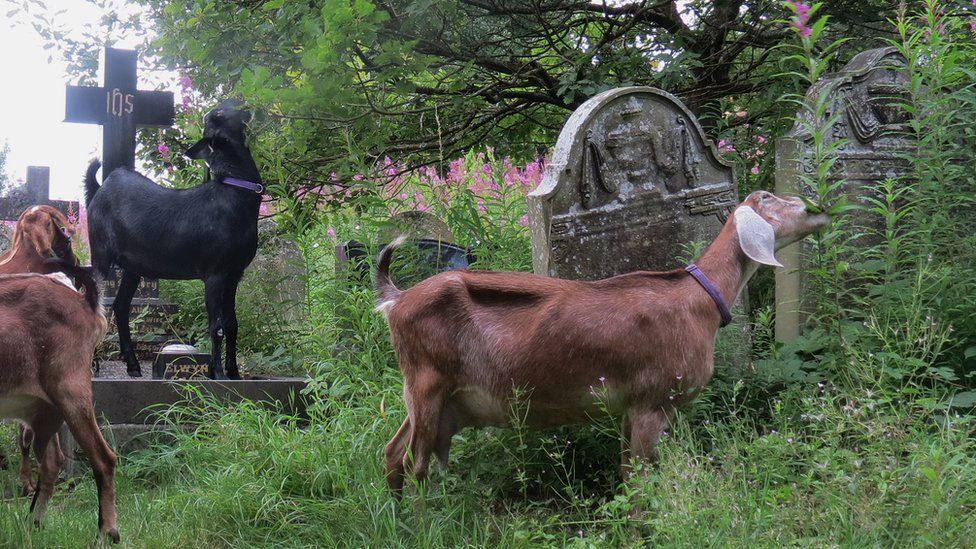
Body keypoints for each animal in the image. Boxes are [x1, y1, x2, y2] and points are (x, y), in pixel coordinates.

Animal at [86, 99, 264, 376]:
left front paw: (234, 374)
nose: (246, 105)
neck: (235, 194)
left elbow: (232, 324)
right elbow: (217, 326)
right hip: (101, 254)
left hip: (133, 265)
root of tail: (101, 187)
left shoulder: (235, 273)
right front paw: (218, 373)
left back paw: (133, 365)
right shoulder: (214, 273)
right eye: (219, 113)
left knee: (121, 305)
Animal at [378, 191, 828, 490]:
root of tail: (396, 299)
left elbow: (627, 471)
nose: (815, 208)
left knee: (393, 452)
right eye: (770, 200)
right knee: (415, 465)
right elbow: (640, 478)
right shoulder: (653, 401)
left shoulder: (630, 405)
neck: (699, 297)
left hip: (429, 396)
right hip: (427, 385)